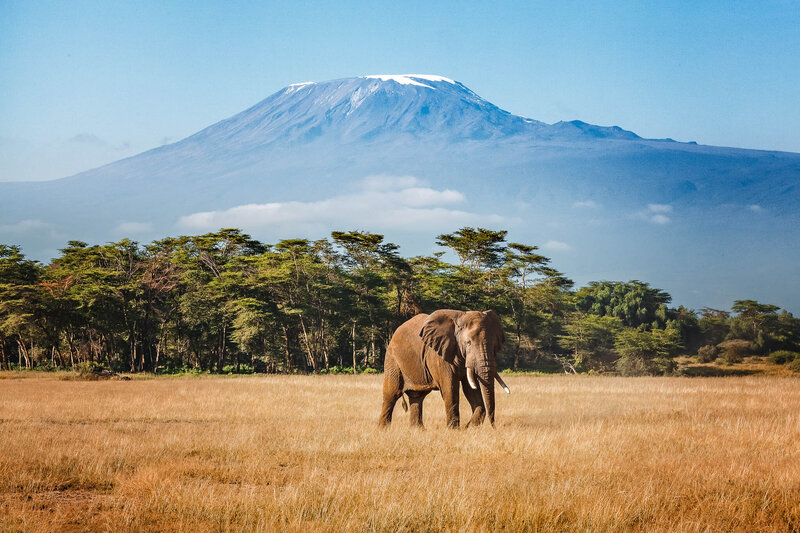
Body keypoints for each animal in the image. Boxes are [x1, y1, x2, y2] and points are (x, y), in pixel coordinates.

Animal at [378, 309, 510, 429]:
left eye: (494, 345)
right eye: (468, 343)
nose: (494, 427)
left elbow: (470, 389)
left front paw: (468, 428)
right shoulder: (439, 355)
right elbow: (450, 388)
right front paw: (454, 430)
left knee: (417, 397)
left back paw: (418, 430)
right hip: (392, 360)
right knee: (391, 394)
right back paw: (383, 430)